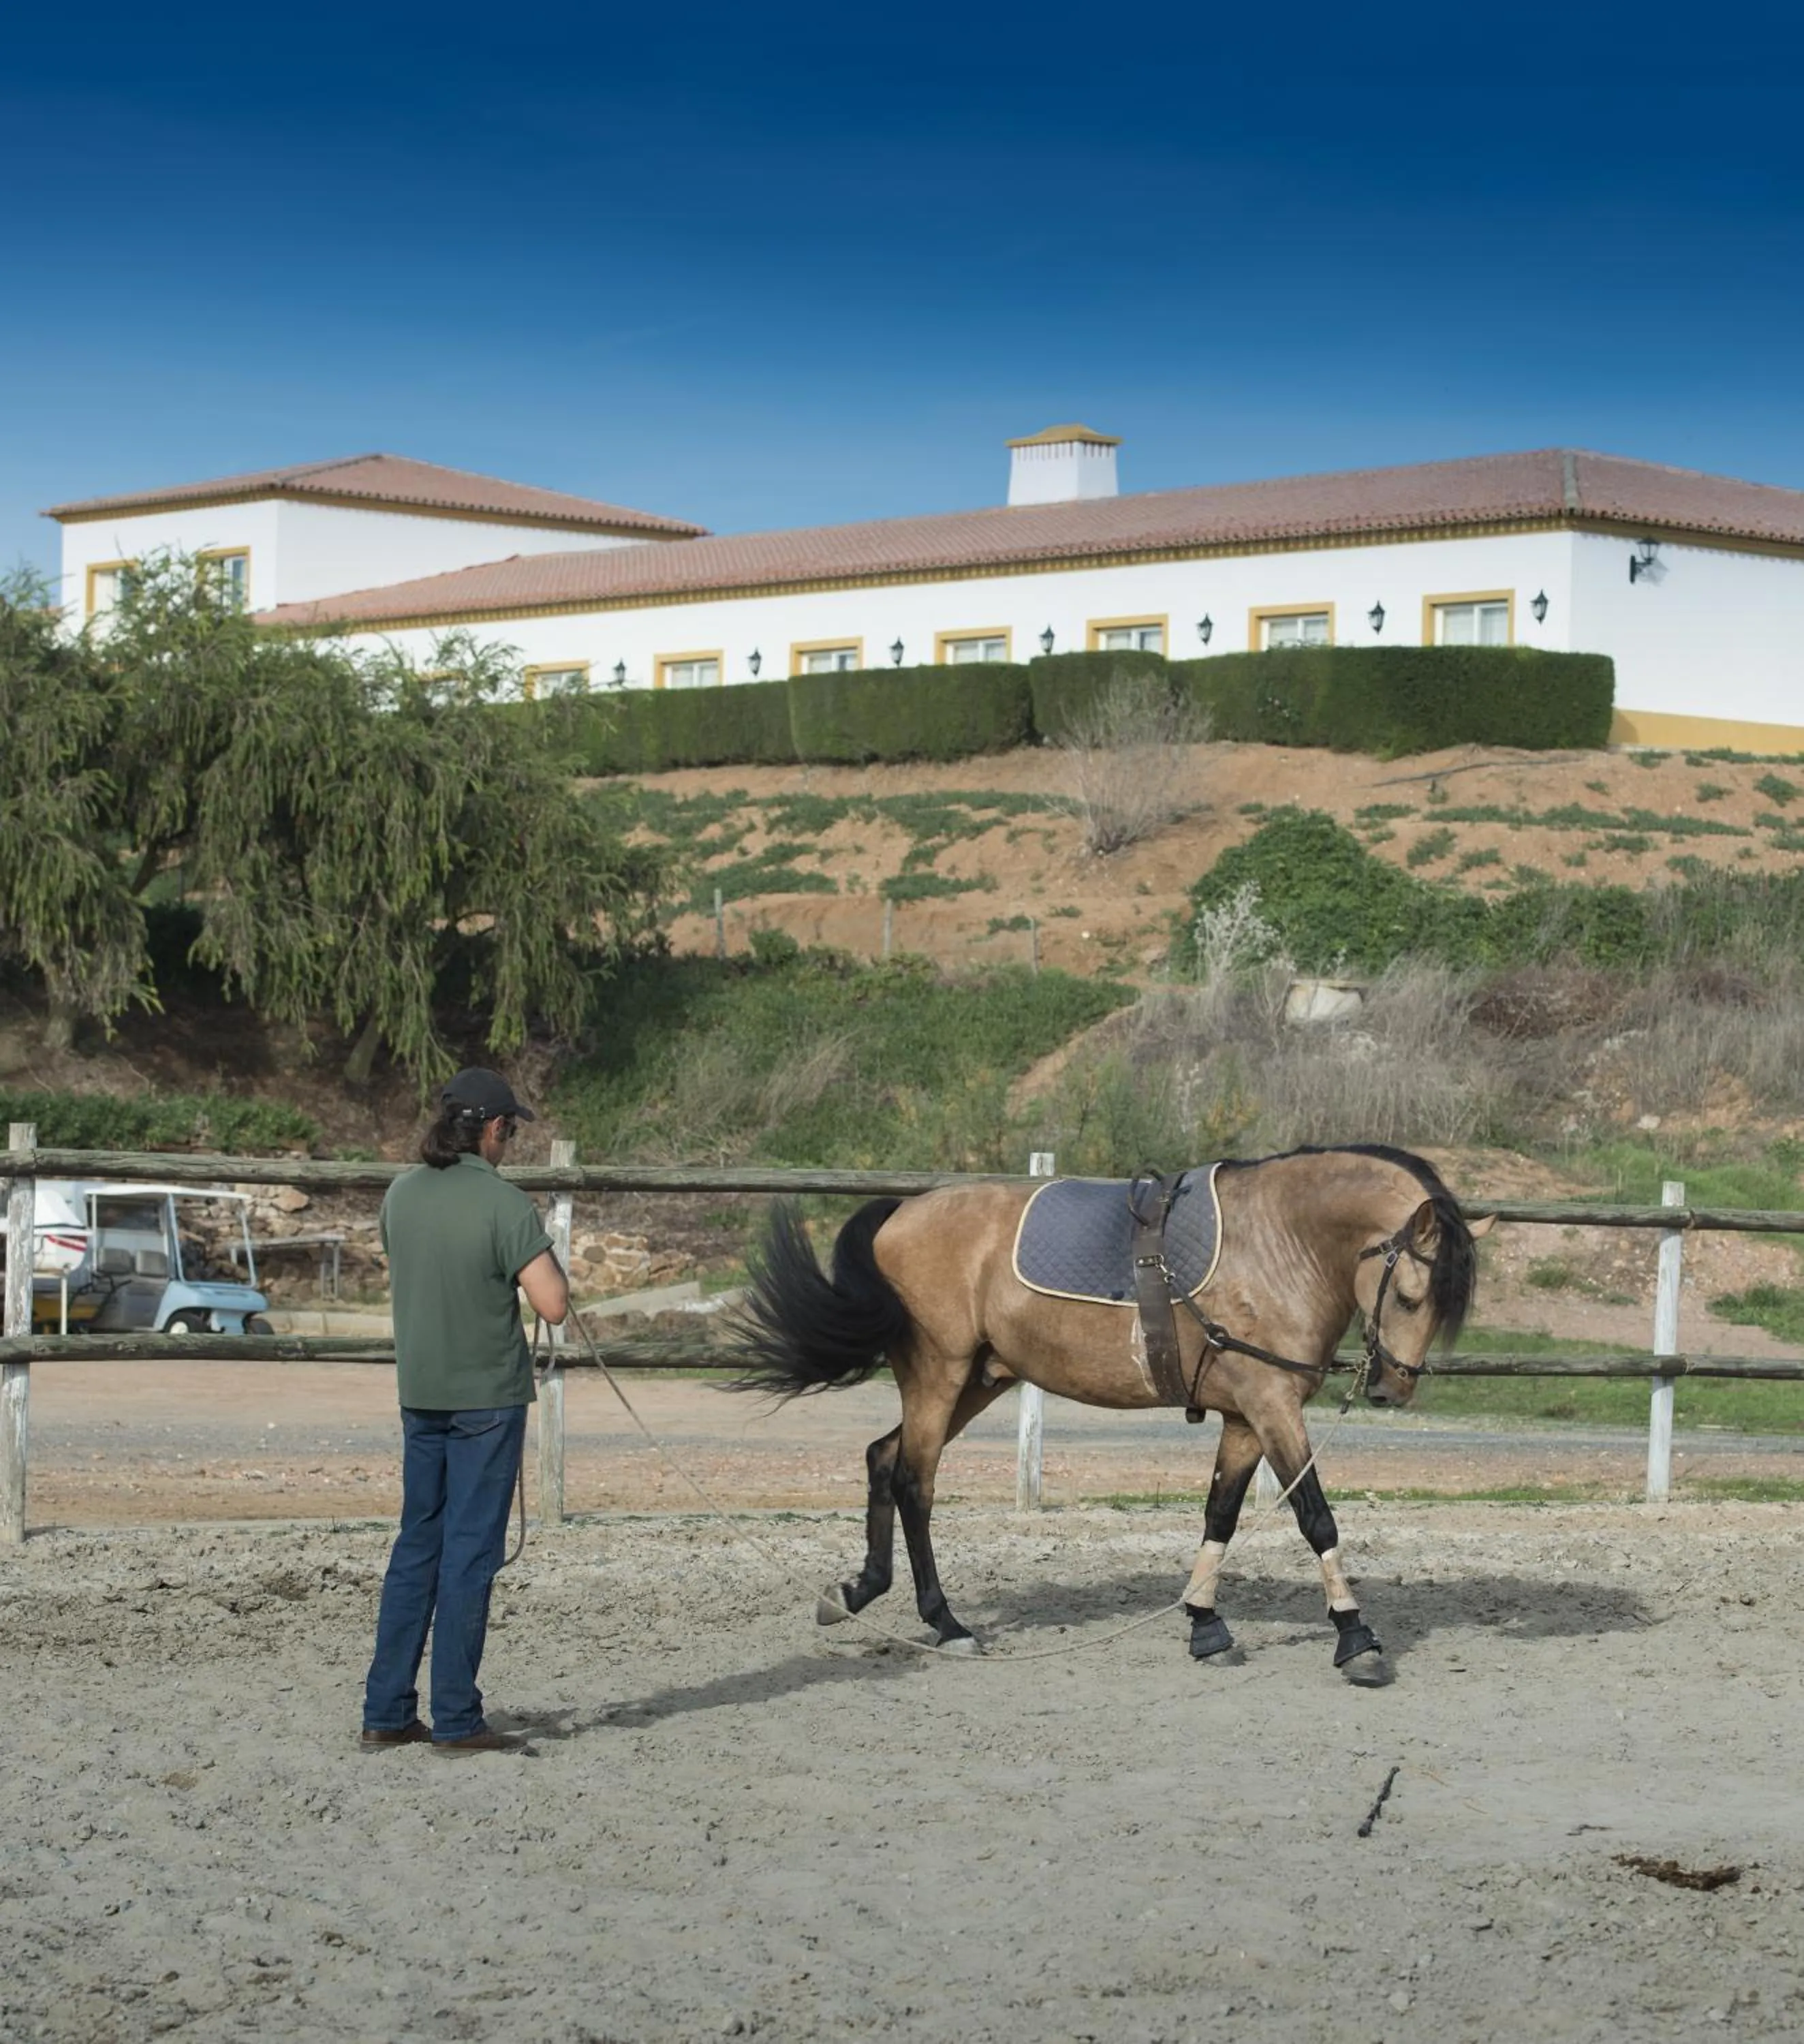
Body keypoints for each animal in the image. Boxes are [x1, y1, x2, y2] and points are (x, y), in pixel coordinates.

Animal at [732, 1144, 1490, 1675]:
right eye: (1412, 1295)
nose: (1391, 1390)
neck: (1275, 1244)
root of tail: (899, 1213)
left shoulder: (1246, 1415)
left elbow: (1220, 1514)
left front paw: (1204, 1625)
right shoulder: (1272, 1406)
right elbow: (1316, 1519)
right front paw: (1355, 1638)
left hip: (978, 1381)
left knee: (882, 1458)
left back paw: (855, 1591)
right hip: (937, 1376)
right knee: (913, 1482)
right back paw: (946, 1624)